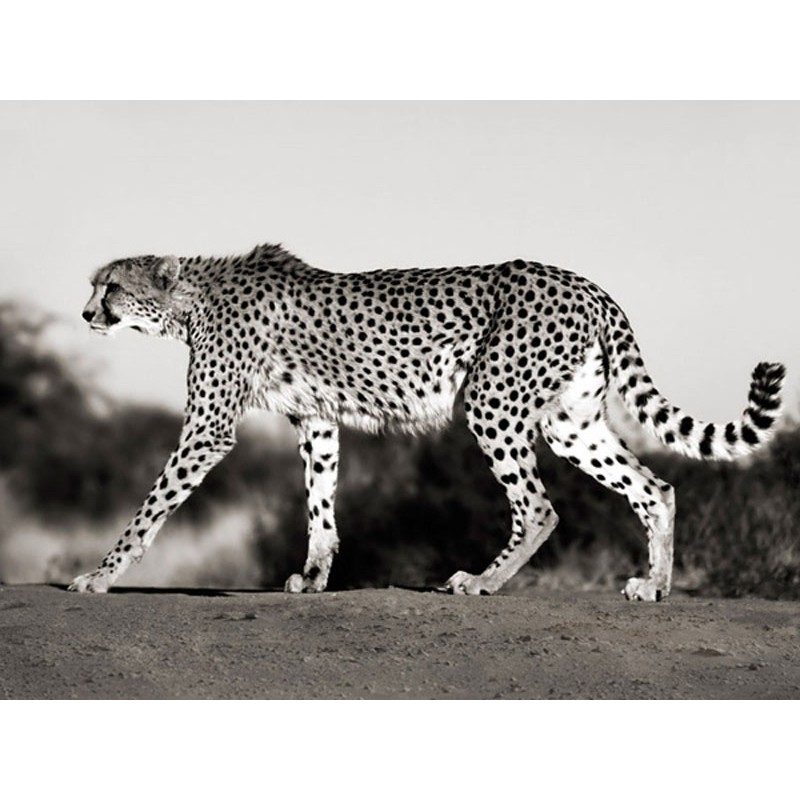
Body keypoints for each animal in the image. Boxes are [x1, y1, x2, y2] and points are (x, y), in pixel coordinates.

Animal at [67, 244, 780, 600]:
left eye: (111, 287)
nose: (85, 314)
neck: (191, 299)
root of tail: (585, 283)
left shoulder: (210, 426)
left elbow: (150, 507)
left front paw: (100, 575)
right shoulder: (316, 418)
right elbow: (320, 504)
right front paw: (315, 577)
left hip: (493, 401)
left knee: (539, 507)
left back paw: (482, 581)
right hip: (570, 423)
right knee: (655, 487)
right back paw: (654, 585)